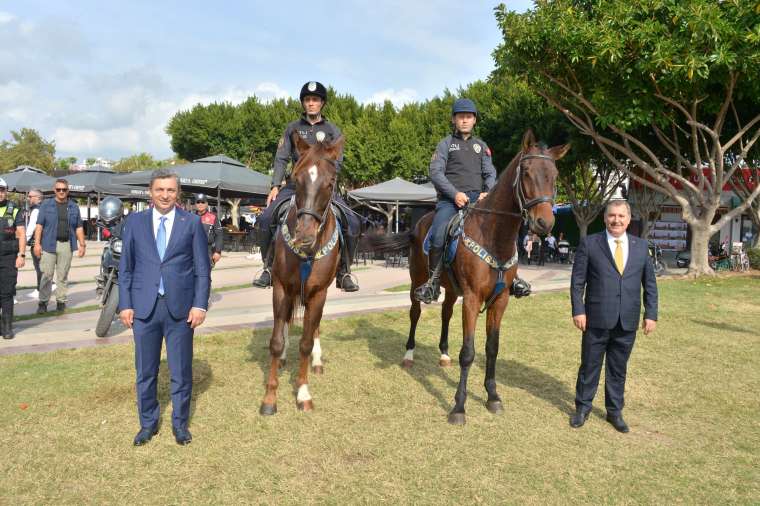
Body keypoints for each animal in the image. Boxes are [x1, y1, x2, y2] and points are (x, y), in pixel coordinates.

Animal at [262, 133, 344, 416]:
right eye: (296, 179)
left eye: (330, 183)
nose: (304, 237)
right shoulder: (281, 287)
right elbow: (276, 341)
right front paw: (269, 398)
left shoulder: (318, 292)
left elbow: (306, 342)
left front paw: (303, 393)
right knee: (286, 321)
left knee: (314, 327)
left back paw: (316, 362)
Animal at [366, 129, 568, 422]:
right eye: (528, 173)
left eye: (554, 175)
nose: (544, 223)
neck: (493, 235)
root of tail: (418, 223)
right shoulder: (472, 299)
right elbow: (468, 352)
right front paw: (459, 406)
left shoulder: (500, 300)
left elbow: (492, 349)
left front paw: (493, 396)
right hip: (417, 281)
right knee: (415, 313)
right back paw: (409, 354)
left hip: (451, 289)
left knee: (446, 313)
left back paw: (443, 354)